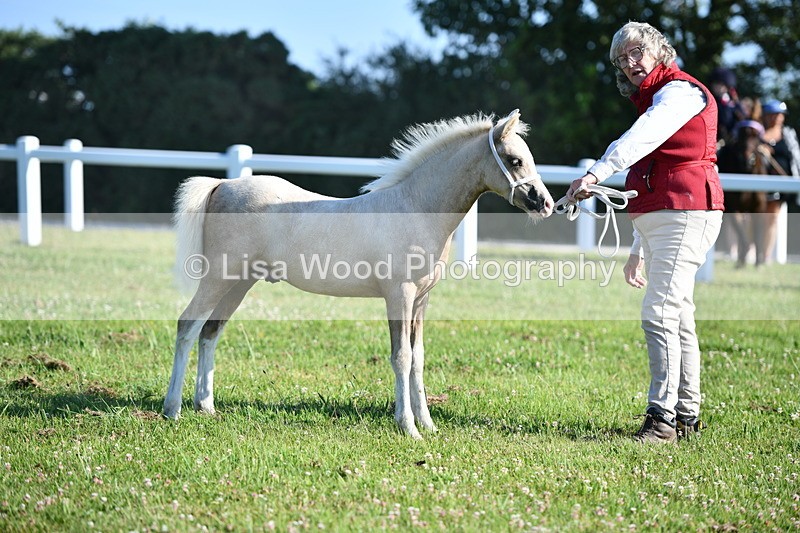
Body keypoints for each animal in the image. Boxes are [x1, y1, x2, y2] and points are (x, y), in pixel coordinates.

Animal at [162, 110, 554, 439]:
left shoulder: (422, 300)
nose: (546, 204)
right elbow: (402, 357)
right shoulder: (400, 295)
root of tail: (221, 185)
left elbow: (419, 358)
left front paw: (428, 424)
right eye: (515, 160)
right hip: (218, 279)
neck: (415, 208)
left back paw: (206, 406)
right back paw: (172, 409)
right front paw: (408, 427)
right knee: (188, 325)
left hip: (238, 285)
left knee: (210, 332)